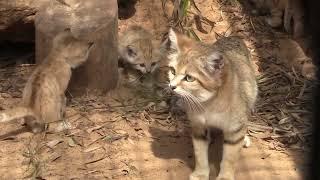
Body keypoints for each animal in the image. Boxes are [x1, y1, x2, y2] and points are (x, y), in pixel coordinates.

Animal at [162, 28, 258, 179]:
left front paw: (225, 176)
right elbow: (200, 154)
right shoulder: (198, 127)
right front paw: (201, 174)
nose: (172, 86)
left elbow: (229, 158)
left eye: (189, 78)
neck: (209, 104)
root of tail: (232, 37)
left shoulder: (234, 130)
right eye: (172, 71)